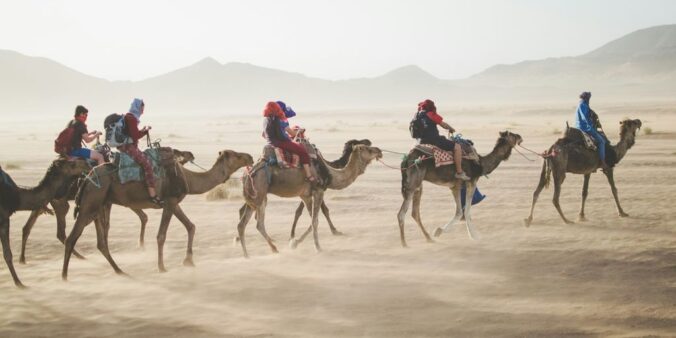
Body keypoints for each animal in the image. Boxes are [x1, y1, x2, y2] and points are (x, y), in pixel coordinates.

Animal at [0, 158, 90, 288]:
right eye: (72, 164)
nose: (87, 163)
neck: (16, 196)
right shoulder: (4, 218)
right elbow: (7, 253)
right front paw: (19, 283)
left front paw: (18, 282)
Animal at [18, 151, 197, 264]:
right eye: (178, 153)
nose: (190, 154)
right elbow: (109, 226)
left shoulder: (111, 202)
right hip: (63, 203)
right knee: (59, 231)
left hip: (59, 201)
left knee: (33, 224)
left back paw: (23, 259)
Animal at [62, 150, 254, 280]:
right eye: (237, 155)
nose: (250, 157)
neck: (188, 178)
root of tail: (86, 178)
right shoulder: (169, 201)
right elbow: (161, 235)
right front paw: (162, 267)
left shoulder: (174, 203)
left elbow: (191, 226)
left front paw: (188, 260)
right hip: (91, 201)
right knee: (72, 238)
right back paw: (64, 277)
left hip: (99, 204)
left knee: (101, 242)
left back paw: (119, 270)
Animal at [235, 144, 382, 258]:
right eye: (368, 149)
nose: (379, 150)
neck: (330, 173)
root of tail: (246, 174)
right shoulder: (318, 191)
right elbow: (315, 221)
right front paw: (318, 248)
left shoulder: (305, 196)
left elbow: (312, 221)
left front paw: (295, 243)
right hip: (260, 194)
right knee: (259, 223)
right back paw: (274, 249)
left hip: (254, 198)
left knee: (242, 224)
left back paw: (247, 255)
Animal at [396, 130, 524, 246]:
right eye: (513, 135)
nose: (520, 137)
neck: (481, 164)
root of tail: (406, 160)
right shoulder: (471, 182)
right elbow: (466, 211)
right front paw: (474, 236)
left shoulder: (455, 187)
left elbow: (459, 212)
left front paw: (439, 231)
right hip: (413, 184)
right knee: (401, 213)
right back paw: (404, 243)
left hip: (418, 186)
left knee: (415, 213)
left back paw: (429, 238)